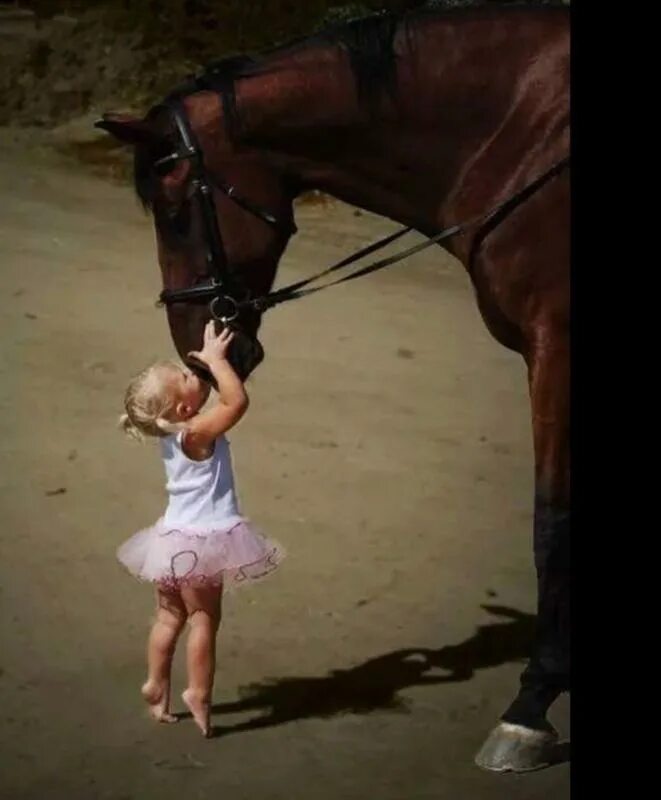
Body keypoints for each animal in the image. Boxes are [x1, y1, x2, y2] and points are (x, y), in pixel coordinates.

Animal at [96, 1, 568, 776]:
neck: (525, 135)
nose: (197, 354)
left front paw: (529, 710)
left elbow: (550, 519)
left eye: (175, 210)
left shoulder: (556, 343)